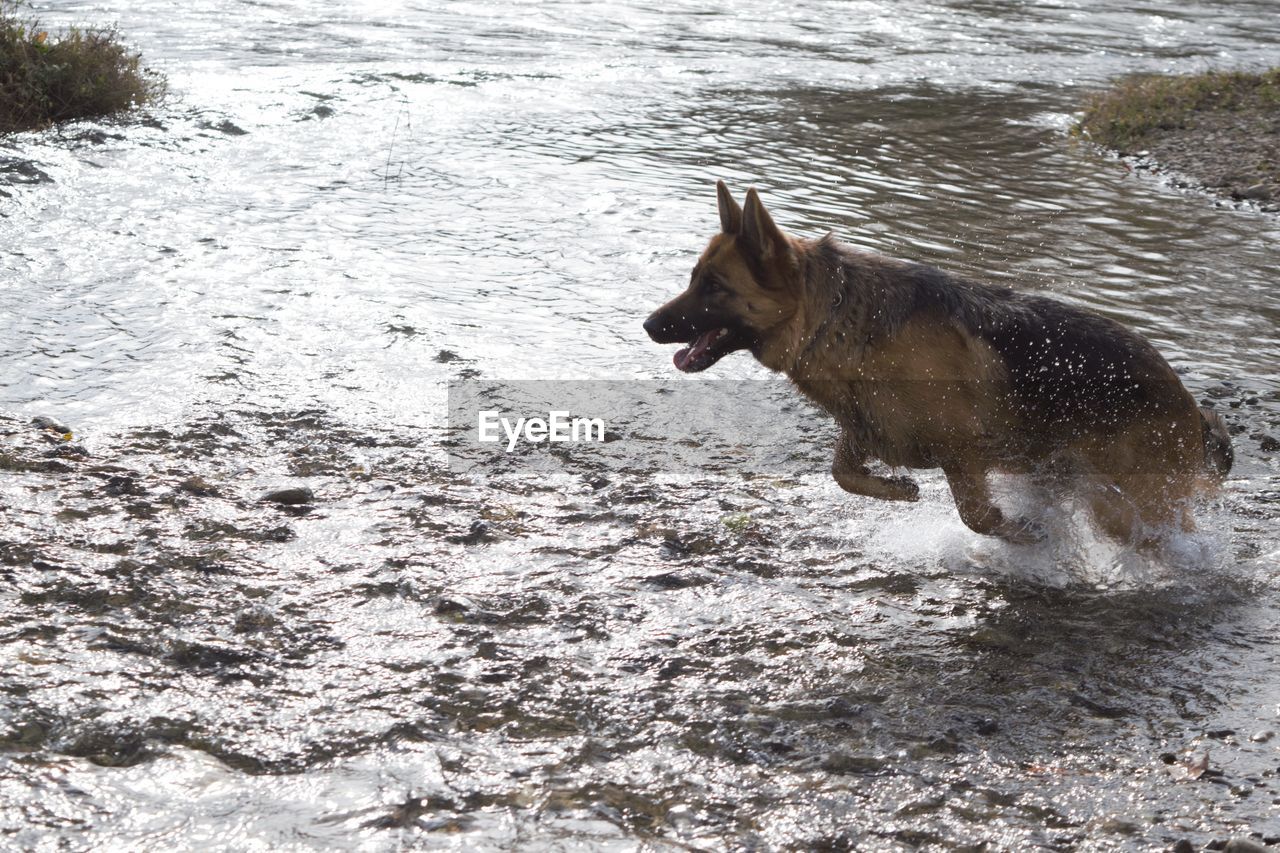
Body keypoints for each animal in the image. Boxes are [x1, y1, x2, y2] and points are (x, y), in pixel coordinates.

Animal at [645, 183, 1233, 545]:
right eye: (693, 278)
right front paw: (898, 490)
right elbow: (842, 473)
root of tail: (1191, 407)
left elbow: (977, 517)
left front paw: (1019, 535)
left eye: (713, 287)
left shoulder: (964, 453)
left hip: (1130, 497)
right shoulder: (866, 428)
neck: (835, 319)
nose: (649, 325)